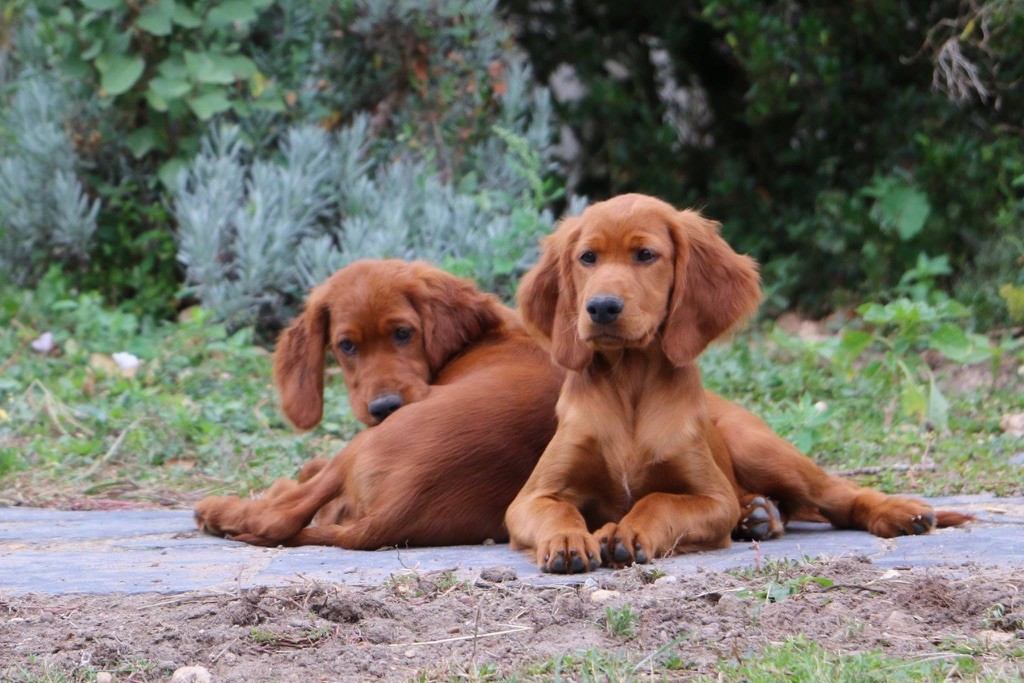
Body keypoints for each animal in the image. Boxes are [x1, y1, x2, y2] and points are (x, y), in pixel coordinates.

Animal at [503, 193, 966, 573]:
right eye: (587, 258)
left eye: (646, 254)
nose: (600, 307)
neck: (629, 382)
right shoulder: (530, 498)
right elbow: (558, 511)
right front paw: (568, 539)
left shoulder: (712, 499)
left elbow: (658, 500)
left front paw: (625, 531)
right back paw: (758, 515)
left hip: (760, 448)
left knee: (838, 494)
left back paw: (899, 512)